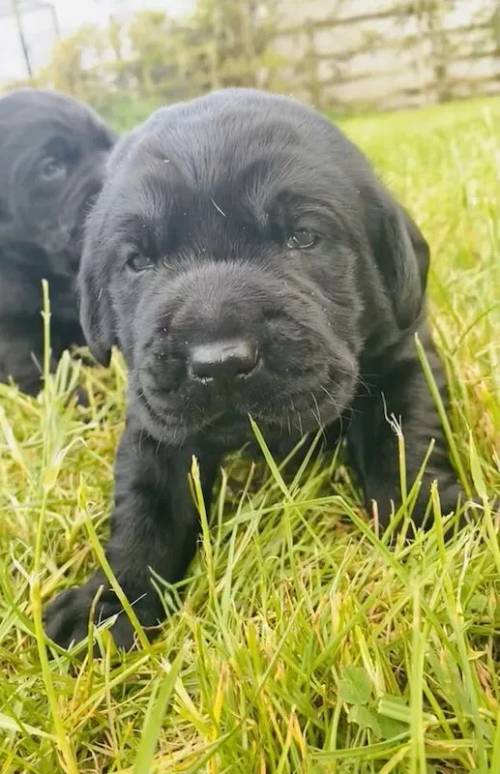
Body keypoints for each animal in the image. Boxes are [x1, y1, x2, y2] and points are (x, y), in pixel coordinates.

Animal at [44, 88, 460, 652]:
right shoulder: (154, 414)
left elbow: (407, 445)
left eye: (303, 236)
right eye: (138, 261)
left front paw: (430, 526)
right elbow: (146, 505)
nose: (219, 362)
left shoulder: (403, 355)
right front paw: (111, 603)